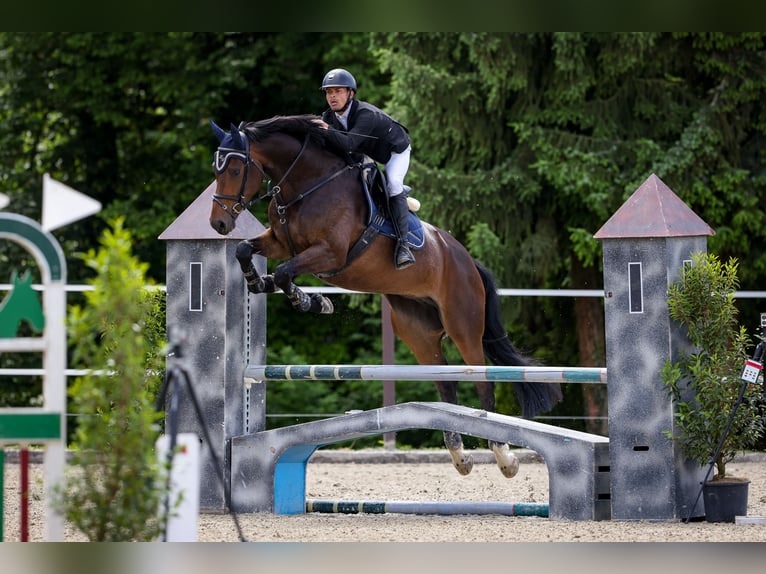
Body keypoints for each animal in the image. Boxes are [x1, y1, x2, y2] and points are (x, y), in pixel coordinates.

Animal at [210, 115, 564, 480]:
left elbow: (284, 273)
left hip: (463, 324)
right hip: (417, 331)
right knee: (445, 384)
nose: (219, 223)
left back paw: (503, 455)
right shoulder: (280, 242)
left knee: (482, 382)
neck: (307, 185)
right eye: (215, 168)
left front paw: (310, 301)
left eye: (234, 169)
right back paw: (459, 455)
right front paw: (259, 282)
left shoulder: (330, 253)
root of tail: (467, 260)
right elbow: (245, 250)